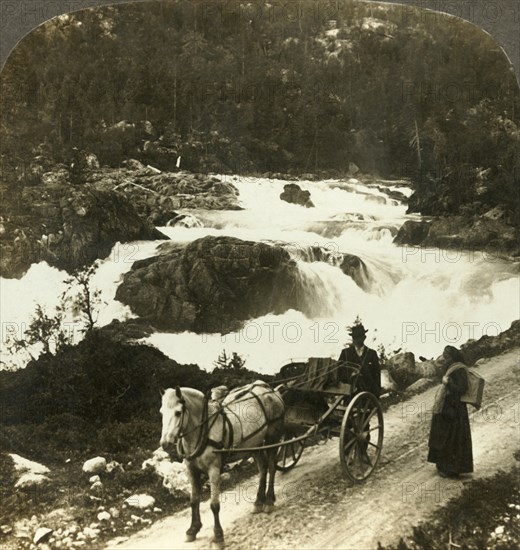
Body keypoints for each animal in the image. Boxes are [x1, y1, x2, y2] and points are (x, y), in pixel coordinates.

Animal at [161, 384, 286, 548]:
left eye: (178, 412)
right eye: (161, 412)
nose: (164, 443)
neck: (204, 431)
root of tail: (269, 389)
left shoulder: (213, 470)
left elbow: (214, 505)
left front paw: (218, 536)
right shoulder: (191, 470)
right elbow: (194, 500)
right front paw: (193, 529)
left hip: (272, 438)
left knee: (271, 466)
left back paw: (270, 500)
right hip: (255, 445)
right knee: (263, 468)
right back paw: (259, 501)